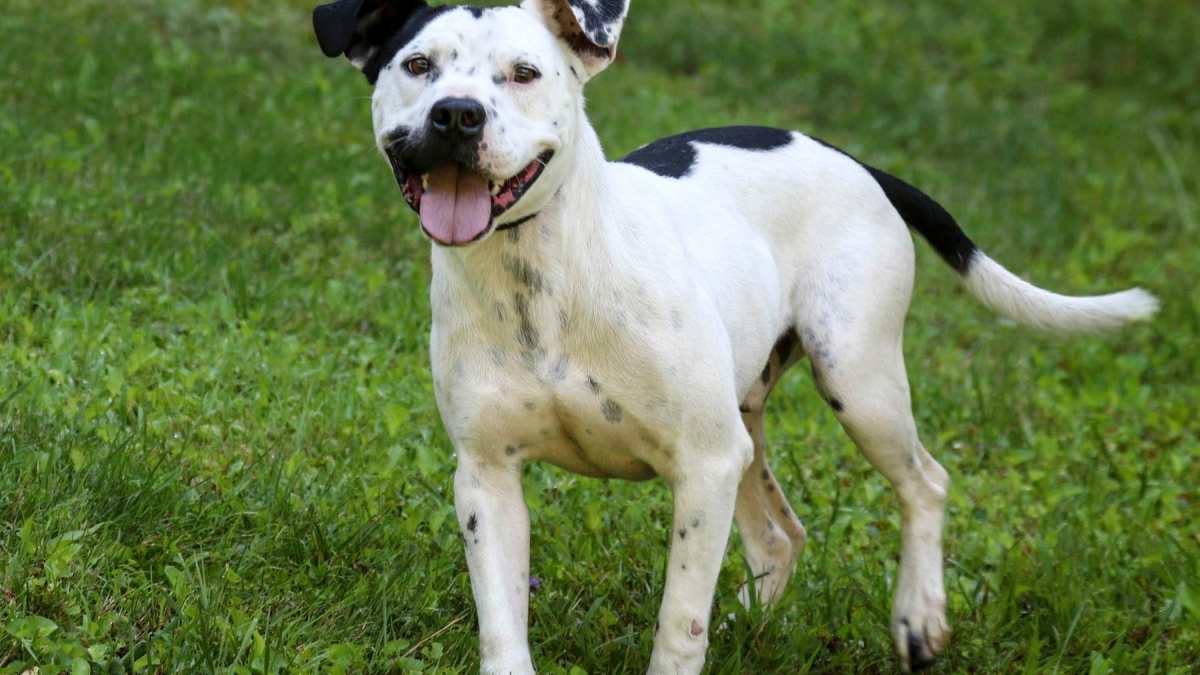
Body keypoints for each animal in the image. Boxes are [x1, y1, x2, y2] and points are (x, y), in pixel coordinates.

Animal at [314, 1, 1156, 667]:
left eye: (524, 73)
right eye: (418, 65)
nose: (457, 115)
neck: (540, 280)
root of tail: (852, 158)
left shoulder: (703, 464)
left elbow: (678, 624)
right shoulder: (487, 478)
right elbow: (503, 629)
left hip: (856, 378)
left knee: (926, 482)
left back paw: (918, 616)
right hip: (747, 423)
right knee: (782, 534)